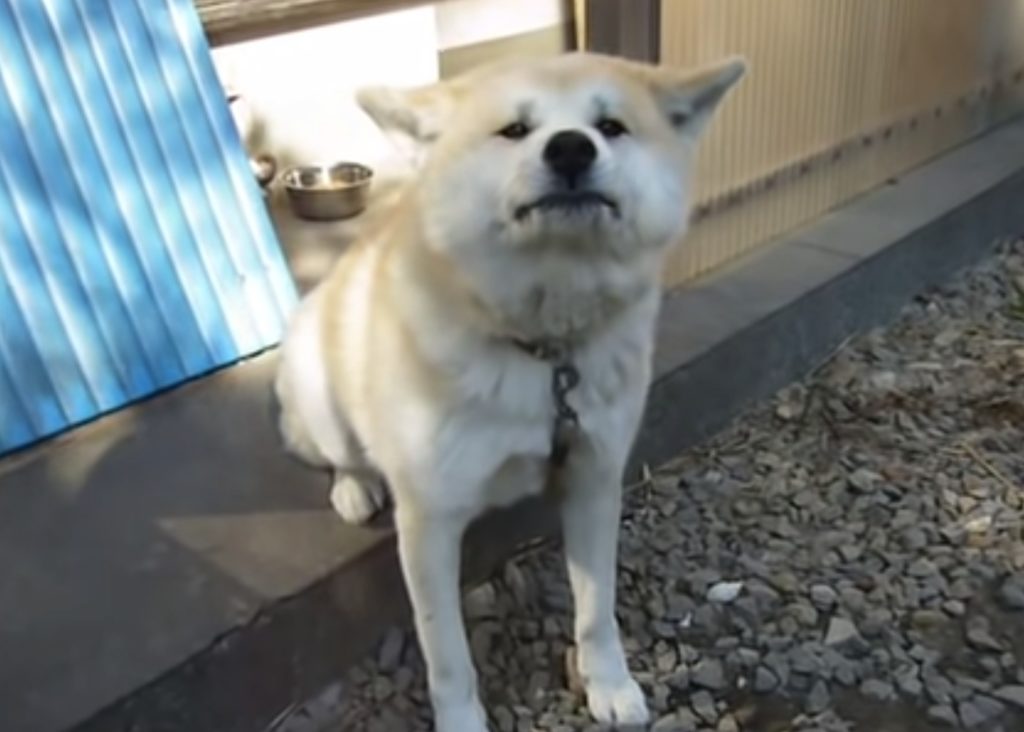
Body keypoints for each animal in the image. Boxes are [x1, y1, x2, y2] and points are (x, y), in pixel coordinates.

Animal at [276, 52, 749, 732]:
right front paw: (461, 720)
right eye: (514, 131)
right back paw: (355, 486)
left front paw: (610, 685)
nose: (572, 147)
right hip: (318, 387)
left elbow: (596, 612)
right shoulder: (430, 521)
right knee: (339, 452)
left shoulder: (594, 479)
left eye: (610, 126)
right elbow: (447, 654)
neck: (544, 350)